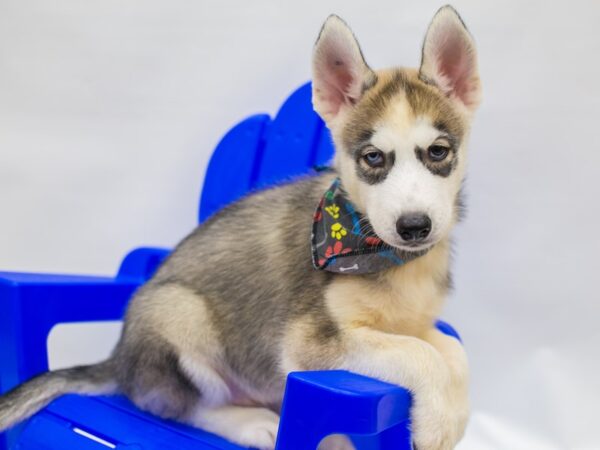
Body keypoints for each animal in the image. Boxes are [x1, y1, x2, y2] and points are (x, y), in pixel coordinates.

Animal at [0, 6, 478, 450]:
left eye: (438, 151)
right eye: (374, 158)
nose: (414, 226)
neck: (384, 254)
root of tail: (118, 360)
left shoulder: (412, 323)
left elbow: (451, 350)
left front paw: (451, 416)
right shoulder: (310, 343)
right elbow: (421, 355)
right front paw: (437, 426)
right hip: (179, 312)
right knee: (184, 407)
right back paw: (250, 423)